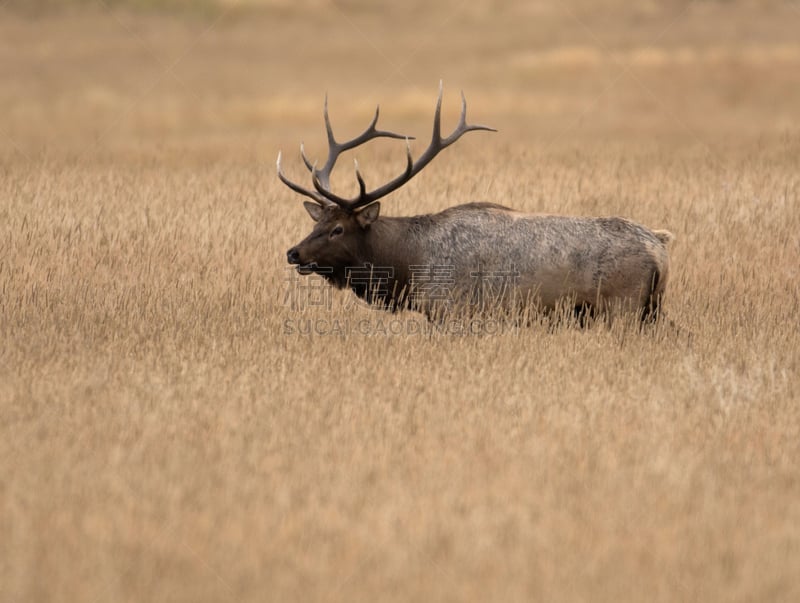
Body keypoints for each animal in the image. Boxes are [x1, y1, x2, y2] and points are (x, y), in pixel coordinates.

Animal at [278, 85, 672, 326]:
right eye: (315, 224)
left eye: (338, 229)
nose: (293, 252)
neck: (410, 263)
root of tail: (660, 248)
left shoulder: (454, 309)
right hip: (651, 311)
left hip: (623, 307)